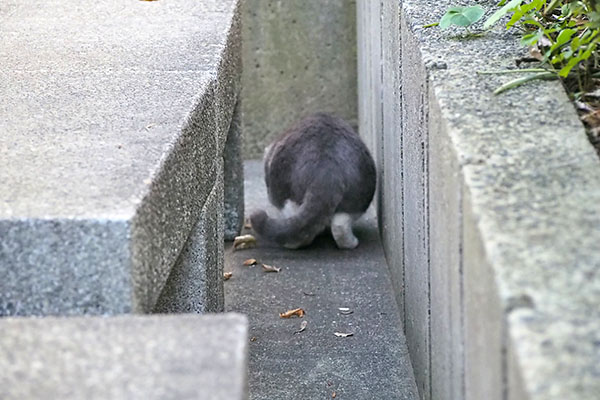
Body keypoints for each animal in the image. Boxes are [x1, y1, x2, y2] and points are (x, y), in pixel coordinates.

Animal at [251, 112, 378, 248]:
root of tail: (327, 169)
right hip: (359, 199)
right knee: (339, 225)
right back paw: (351, 243)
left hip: (283, 194)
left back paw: (292, 244)